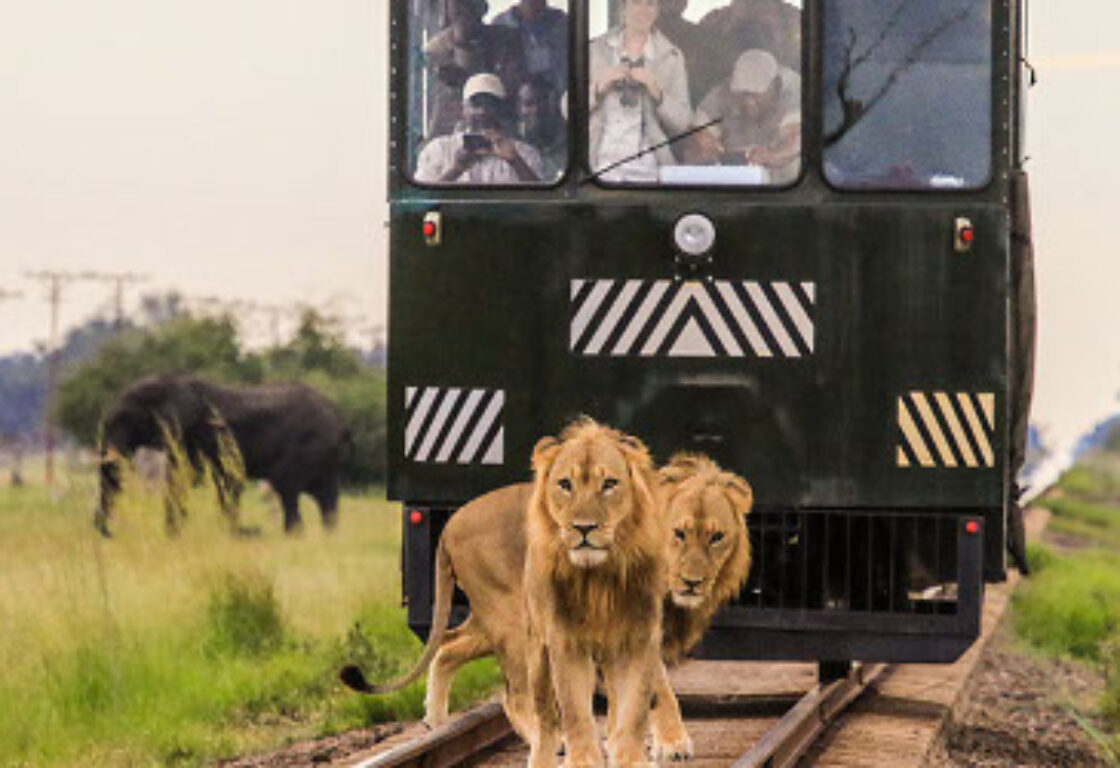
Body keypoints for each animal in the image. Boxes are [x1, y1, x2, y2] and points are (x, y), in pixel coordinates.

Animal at [339, 450, 752, 763]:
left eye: (717, 537)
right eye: (678, 534)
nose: (692, 582)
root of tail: (451, 524)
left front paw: (620, 741)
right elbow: (658, 685)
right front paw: (671, 742)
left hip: (494, 619)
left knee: (447, 647)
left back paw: (436, 722)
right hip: (514, 618)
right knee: (515, 694)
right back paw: (552, 742)